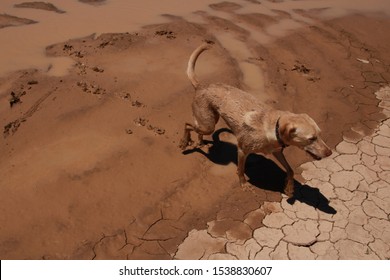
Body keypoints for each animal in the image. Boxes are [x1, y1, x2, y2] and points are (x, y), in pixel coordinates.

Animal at [181, 42, 332, 198]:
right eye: (311, 138)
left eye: (320, 134)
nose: (330, 153)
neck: (273, 127)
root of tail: (201, 85)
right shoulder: (242, 150)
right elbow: (241, 170)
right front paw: (244, 184)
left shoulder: (277, 151)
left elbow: (290, 170)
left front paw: (289, 188)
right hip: (208, 125)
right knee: (187, 124)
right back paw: (184, 142)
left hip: (208, 122)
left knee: (196, 128)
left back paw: (199, 142)